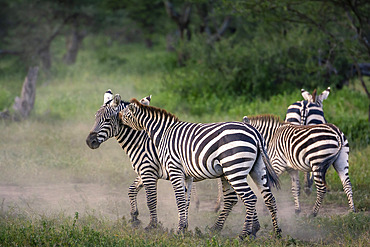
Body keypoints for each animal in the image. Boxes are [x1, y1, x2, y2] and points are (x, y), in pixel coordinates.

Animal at [120, 98, 282, 239]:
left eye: (126, 113)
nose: (118, 117)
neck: (163, 133)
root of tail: (254, 132)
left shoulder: (174, 168)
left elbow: (179, 200)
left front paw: (179, 230)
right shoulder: (186, 174)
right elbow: (185, 200)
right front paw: (183, 228)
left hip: (234, 169)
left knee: (250, 198)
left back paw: (243, 235)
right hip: (257, 168)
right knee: (269, 198)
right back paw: (276, 233)